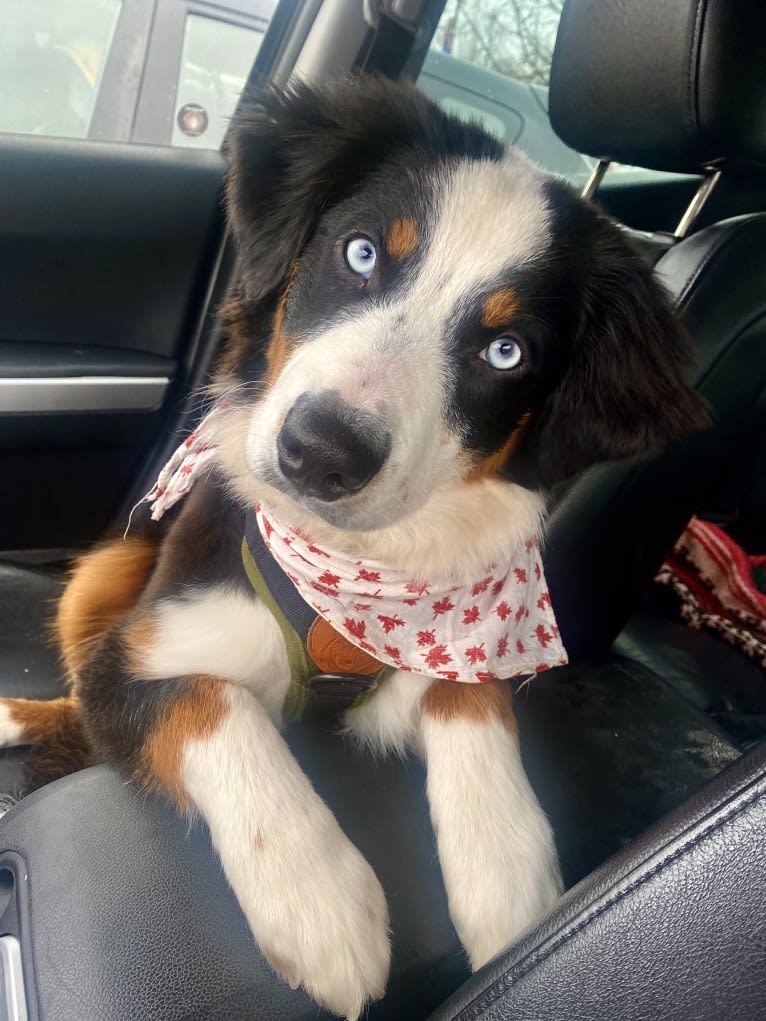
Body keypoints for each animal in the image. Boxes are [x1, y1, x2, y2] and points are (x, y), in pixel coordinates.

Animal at [0, 75, 706, 1016]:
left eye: (506, 351)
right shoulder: (140, 656)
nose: (321, 452)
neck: (347, 572)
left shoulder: (454, 639)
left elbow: (470, 697)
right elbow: (214, 704)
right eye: (362, 253)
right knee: (76, 691)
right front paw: (321, 898)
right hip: (106, 570)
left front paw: (510, 875)